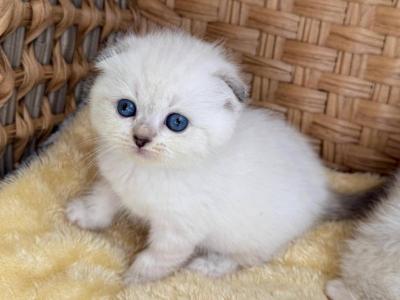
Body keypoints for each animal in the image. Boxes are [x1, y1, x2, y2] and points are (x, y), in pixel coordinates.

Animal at [65, 29, 340, 284]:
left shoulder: (178, 231)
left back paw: (208, 266)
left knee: (247, 259)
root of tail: (322, 189)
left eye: (177, 122)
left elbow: (156, 258)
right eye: (126, 108)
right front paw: (82, 215)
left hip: (248, 237)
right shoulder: (114, 183)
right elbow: (101, 201)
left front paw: (134, 281)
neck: (149, 170)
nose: (141, 139)